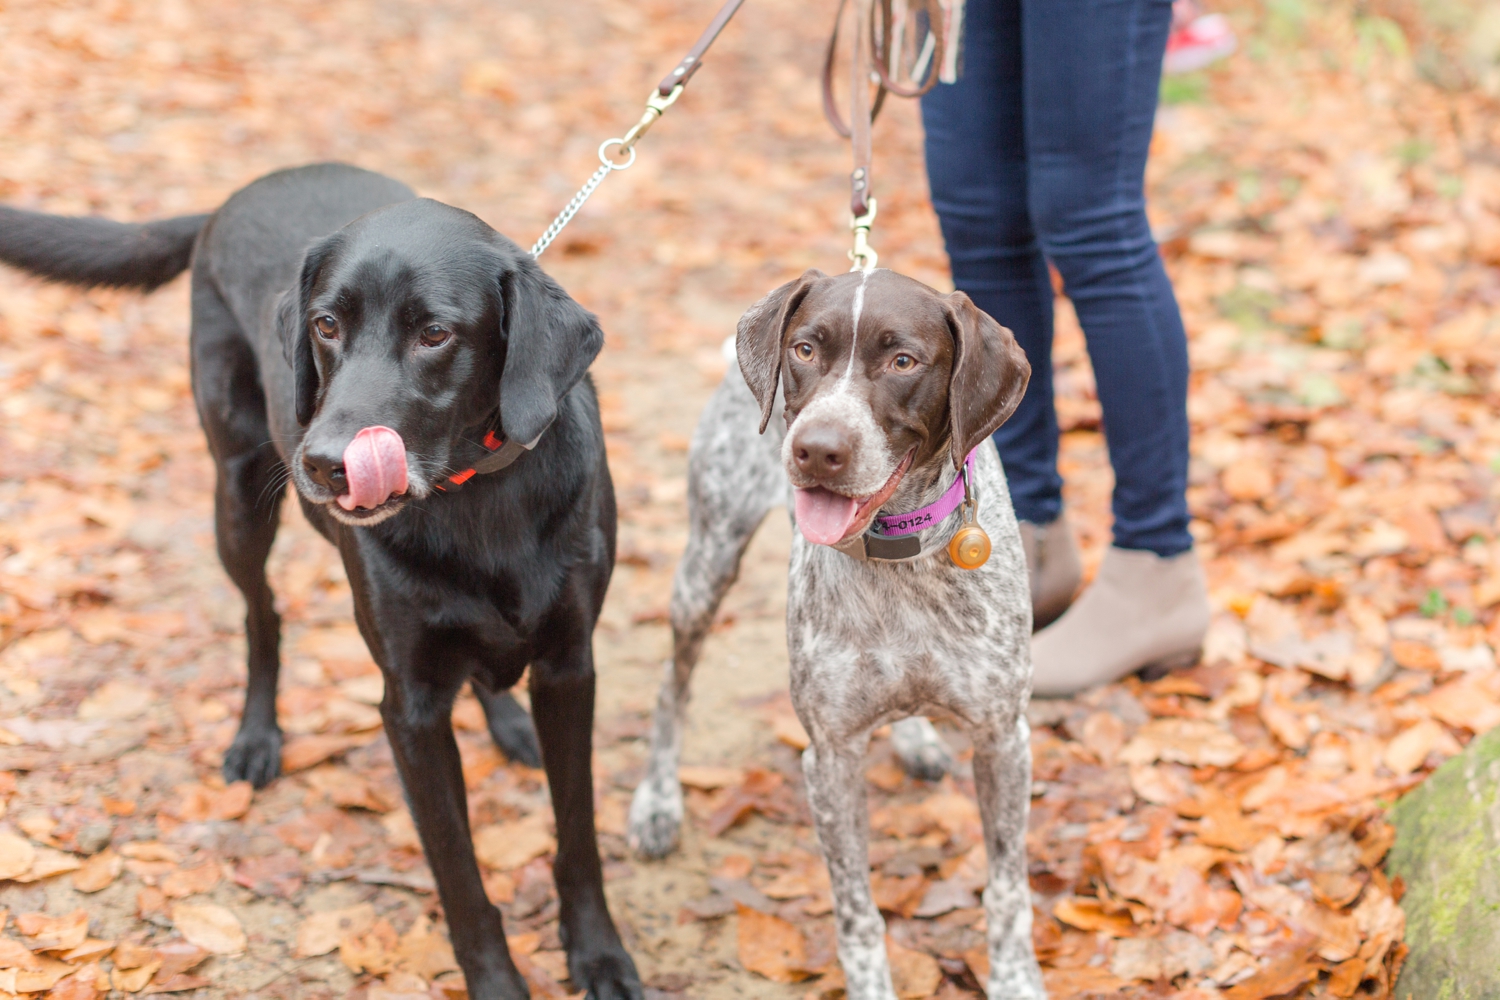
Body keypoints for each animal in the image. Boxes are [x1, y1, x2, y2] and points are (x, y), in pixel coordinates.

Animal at [0, 164, 639, 1000]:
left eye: (436, 334)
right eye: (327, 325)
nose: (325, 463)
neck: (478, 496)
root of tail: (239, 192)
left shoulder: (570, 668)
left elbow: (578, 834)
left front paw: (598, 954)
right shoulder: (410, 709)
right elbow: (459, 875)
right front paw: (498, 982)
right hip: (237, 495)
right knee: (261, 617)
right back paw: (255, 739)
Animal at [630, 268, 1044, 1000]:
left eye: (903, 360)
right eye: (804, 350)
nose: (817, 449)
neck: (900, 557)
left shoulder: (1002, 738)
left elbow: (1007, 891)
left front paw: (1016, 980)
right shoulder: (830, 757)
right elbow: (857, 914)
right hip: (706, 564)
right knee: (672, 688)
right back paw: (658, 801)